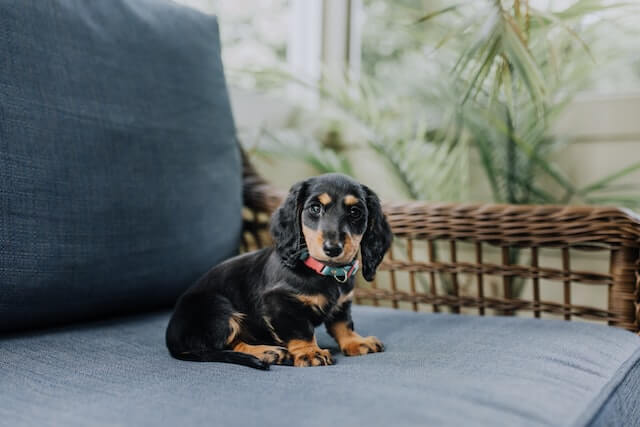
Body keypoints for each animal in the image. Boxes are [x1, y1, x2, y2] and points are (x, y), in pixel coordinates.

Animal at [165, 174, 392, 372]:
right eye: (315, 208)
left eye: (355, 212)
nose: (333, 249)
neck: (322, 270)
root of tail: (171, 339)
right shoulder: (280, 302)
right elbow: (300, 331)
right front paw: (310, 353)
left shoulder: (342, 303)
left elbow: (342, 324)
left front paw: (356, 342)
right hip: (217, 307)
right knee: (225, 344)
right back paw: (268, 352)